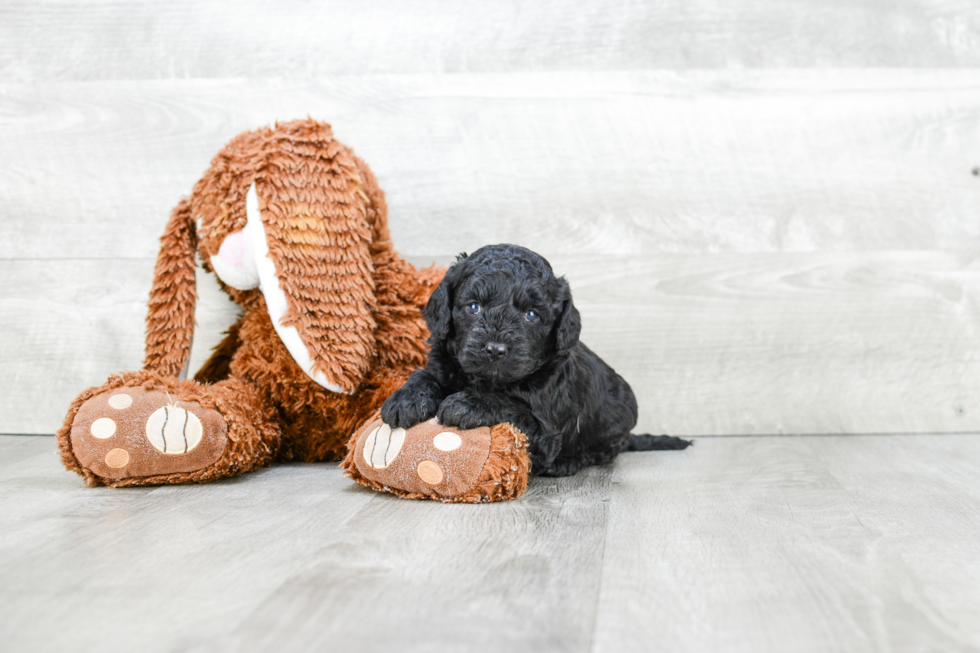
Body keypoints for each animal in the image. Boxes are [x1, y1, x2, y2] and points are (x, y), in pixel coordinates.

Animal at [378, 243, 692, 474]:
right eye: (474, 307)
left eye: (531, 315)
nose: (495, 349)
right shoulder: (444, 363)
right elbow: (424, 374)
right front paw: (405, 399)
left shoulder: (545, 431)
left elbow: (512, 407)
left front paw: (468, 403)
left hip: (615, 425)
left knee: (600, 452)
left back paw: (568, 464)